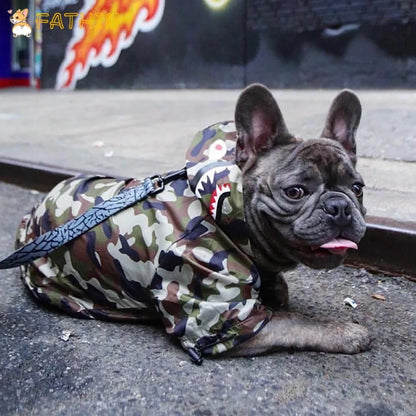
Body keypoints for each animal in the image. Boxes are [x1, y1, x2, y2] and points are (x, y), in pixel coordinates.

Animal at [16, 84, 370, 360]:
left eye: (357, 189)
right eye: (295, 192)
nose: (339, 207)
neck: (225, 211)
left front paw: (273, 287)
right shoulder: (224, 320)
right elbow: (298, 322)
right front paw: (346, 332)